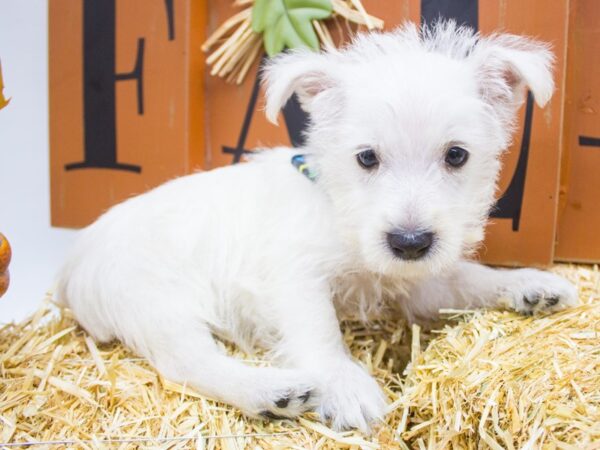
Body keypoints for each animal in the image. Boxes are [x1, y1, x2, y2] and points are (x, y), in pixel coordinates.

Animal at [57, 22, 576, 432]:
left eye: (456, 155)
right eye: (366, 157)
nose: (409, 243)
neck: (339, 209)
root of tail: (73, 264)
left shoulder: (420, 284)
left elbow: (469, 279)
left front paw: (530, 284)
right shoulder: (295, 278)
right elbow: (320, 330)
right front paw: (346, 386)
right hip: (159, 305)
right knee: (188, 362)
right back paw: (269, 392)